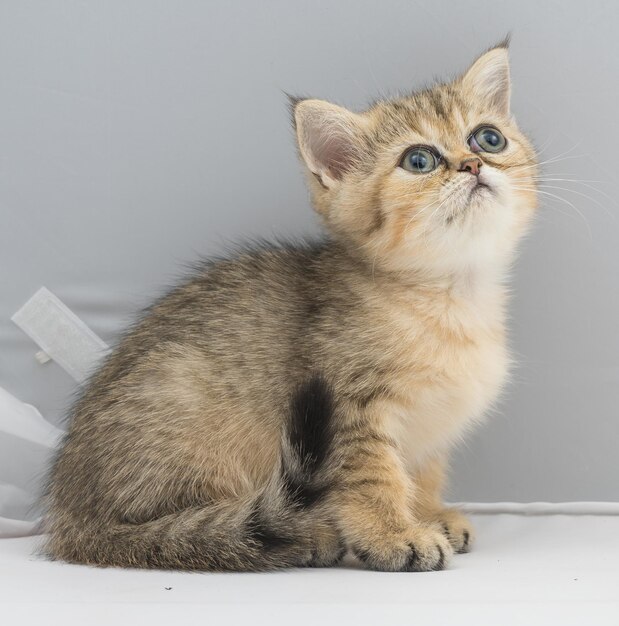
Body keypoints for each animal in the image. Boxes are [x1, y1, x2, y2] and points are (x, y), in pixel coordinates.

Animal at [43, 42, 536, 572]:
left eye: (488, 138)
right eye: (419, 160)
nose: (474, 165)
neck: (454, 298)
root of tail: (70, 521)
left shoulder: (429, 429)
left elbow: (421, 472)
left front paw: (429, 513)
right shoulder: (349, 410)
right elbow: (374, 479)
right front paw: (394, 534)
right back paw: (306, 537)